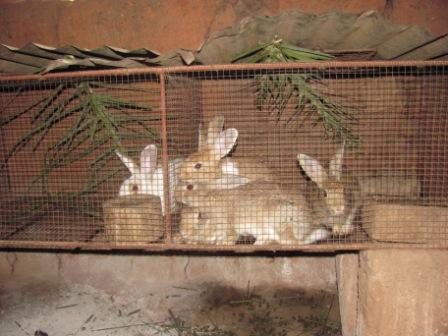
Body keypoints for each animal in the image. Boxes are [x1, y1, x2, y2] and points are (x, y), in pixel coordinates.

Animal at [176, 180, 328, 245]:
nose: (183, 231)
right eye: (181, 216)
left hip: (279, 221)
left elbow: (231, 235)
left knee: (293, 241)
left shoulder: (229, 226)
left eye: (200, 216)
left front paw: (223, 243)